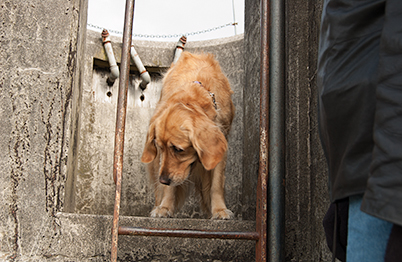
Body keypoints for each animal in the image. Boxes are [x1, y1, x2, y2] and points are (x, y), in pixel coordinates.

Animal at [141, 51, 236, 219]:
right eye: (160, 148)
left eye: (178, 149)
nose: (163, 179)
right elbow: (168, 188)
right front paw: (164, 207)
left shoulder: (220, 146)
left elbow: (216, 184)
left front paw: (220, 210)